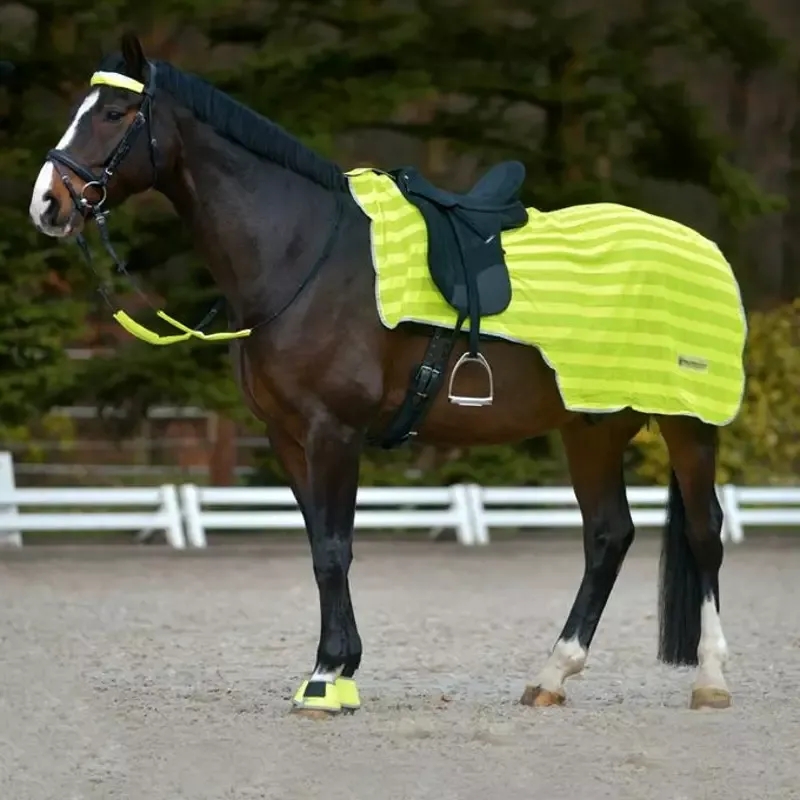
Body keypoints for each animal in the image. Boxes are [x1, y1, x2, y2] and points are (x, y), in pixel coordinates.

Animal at [28, 32, 745, 716]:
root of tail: (703, 248)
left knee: (704, 534)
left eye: (115, 113)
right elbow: (321, 546)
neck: (304, 254)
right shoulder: (290, 437)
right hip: (591, 425)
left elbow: (334, 548)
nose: (47, 203)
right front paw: (340, 669)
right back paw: (552, 675)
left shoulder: (334, 431)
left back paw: (710, 680)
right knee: (607, 536)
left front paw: (326, 677)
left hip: (687, 423)